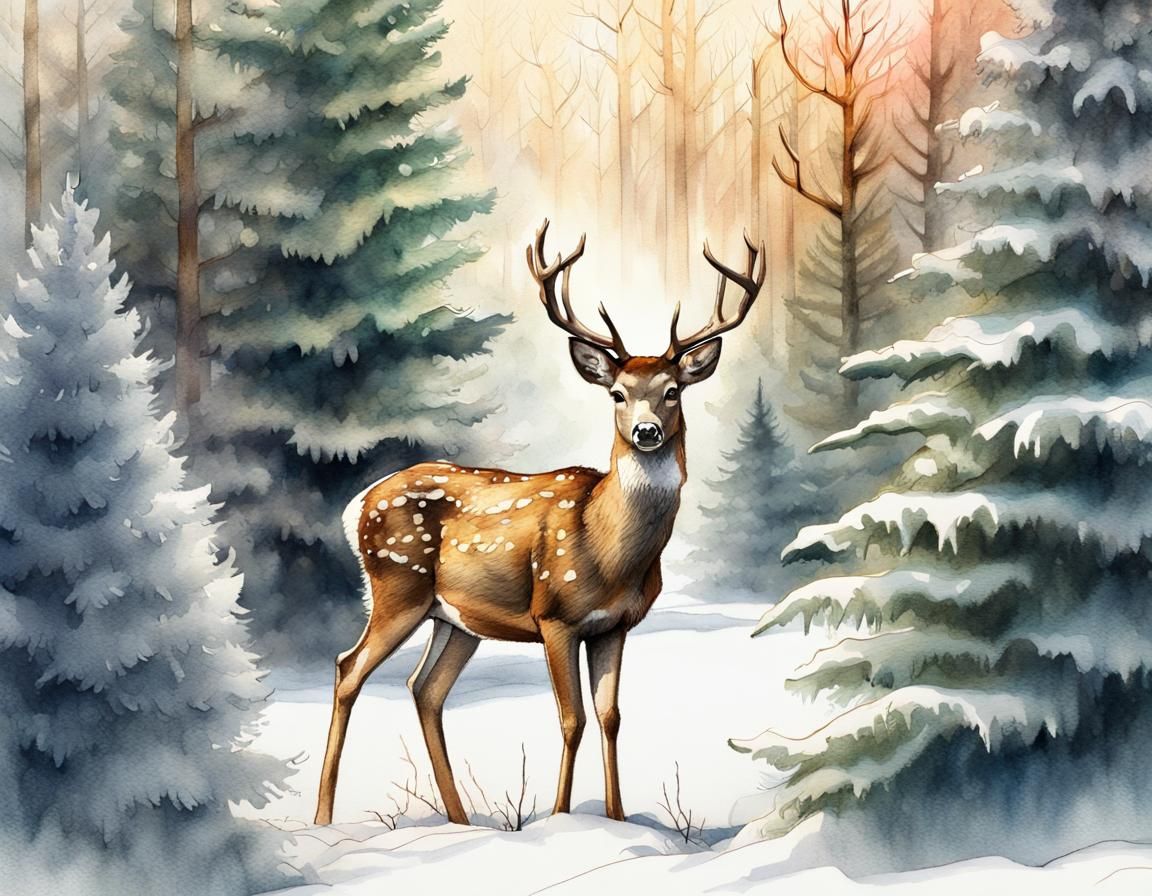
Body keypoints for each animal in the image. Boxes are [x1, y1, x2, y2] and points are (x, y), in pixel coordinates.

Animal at [314, 220, 764, 827]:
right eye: (617, 394)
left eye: (672, 392)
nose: (646, 431)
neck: (609, 550)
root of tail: (356, 504)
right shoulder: (554, 615)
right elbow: (571, 719)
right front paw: (560, 816)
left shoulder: (615, 626)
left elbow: (611, 717)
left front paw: (617, 819)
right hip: (397, 584)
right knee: (348, 668)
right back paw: (322, 818)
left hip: (455, 618)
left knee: (424, 689)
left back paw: (459, 821)